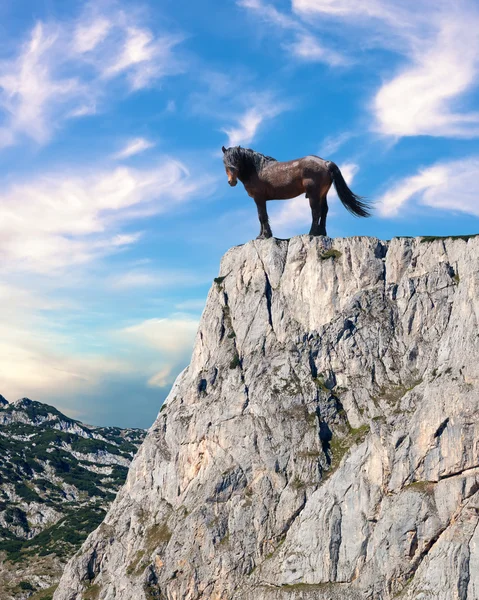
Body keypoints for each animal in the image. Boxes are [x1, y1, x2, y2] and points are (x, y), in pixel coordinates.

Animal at [221, 146, 372, 239]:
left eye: (236, 160)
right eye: (224, 161)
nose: (231, 181)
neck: (257, 170)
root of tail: (325, 162)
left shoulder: (259, 198)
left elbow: (262, 216)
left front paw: (265, 236)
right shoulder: (259, 200)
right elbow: (261, 217)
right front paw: (261, 235)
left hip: (314, 195)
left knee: (316, 212)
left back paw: (312, 233)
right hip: (323, 194)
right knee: (324, 210)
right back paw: (321, 233)